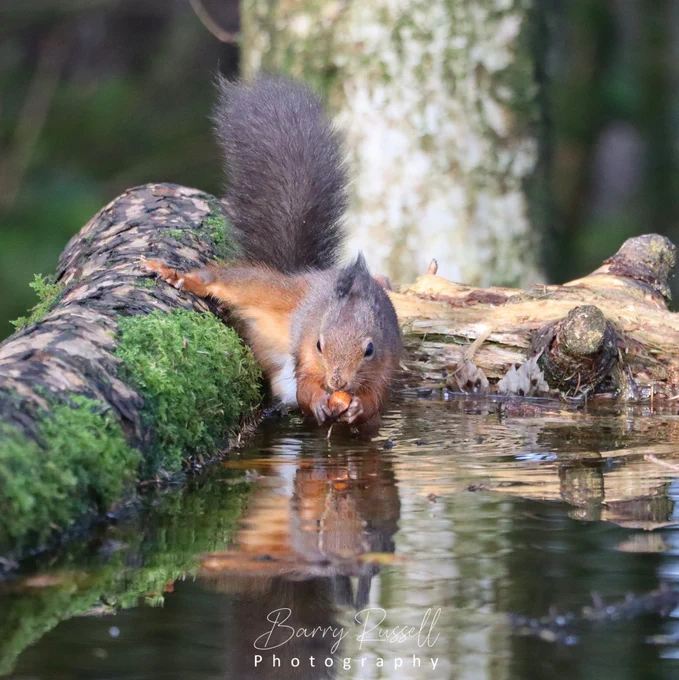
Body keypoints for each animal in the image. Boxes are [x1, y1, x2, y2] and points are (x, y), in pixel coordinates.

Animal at [142, 75, 402, 430]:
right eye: (319, 344)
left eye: (370, 350)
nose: (337, 382)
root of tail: (303, 275)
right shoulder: (304, 352)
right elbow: (306, 385)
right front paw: (319, 402)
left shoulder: (387, 363)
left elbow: (377, 398)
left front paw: (357, 408)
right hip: (273, 292)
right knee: (232, 280)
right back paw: (178, 276)